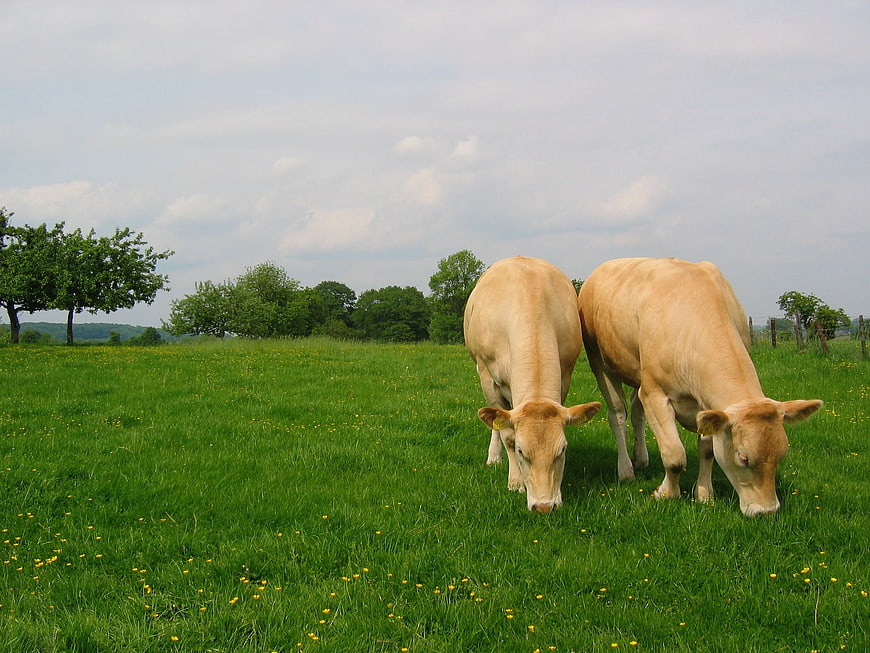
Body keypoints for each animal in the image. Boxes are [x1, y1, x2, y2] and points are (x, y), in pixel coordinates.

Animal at [464, 256, 601, 513]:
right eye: (521, 451)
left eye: (562, 450)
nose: (544, 506)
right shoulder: (488, 376)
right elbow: (505, 433)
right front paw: (515, 482)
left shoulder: (565, 375)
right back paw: (494, 457)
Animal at [577, 257, 822, 516]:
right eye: (744, 457)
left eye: (782, 454)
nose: (766, 511)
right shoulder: (655, 393)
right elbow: (674, 454)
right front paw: (667, 493)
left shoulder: (707, 406)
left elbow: (707, 450)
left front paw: (704, 494)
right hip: (600, 362)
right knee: (618, 415)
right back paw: (626, 470)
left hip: (637, 373)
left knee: (636, 413)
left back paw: (640, 458)